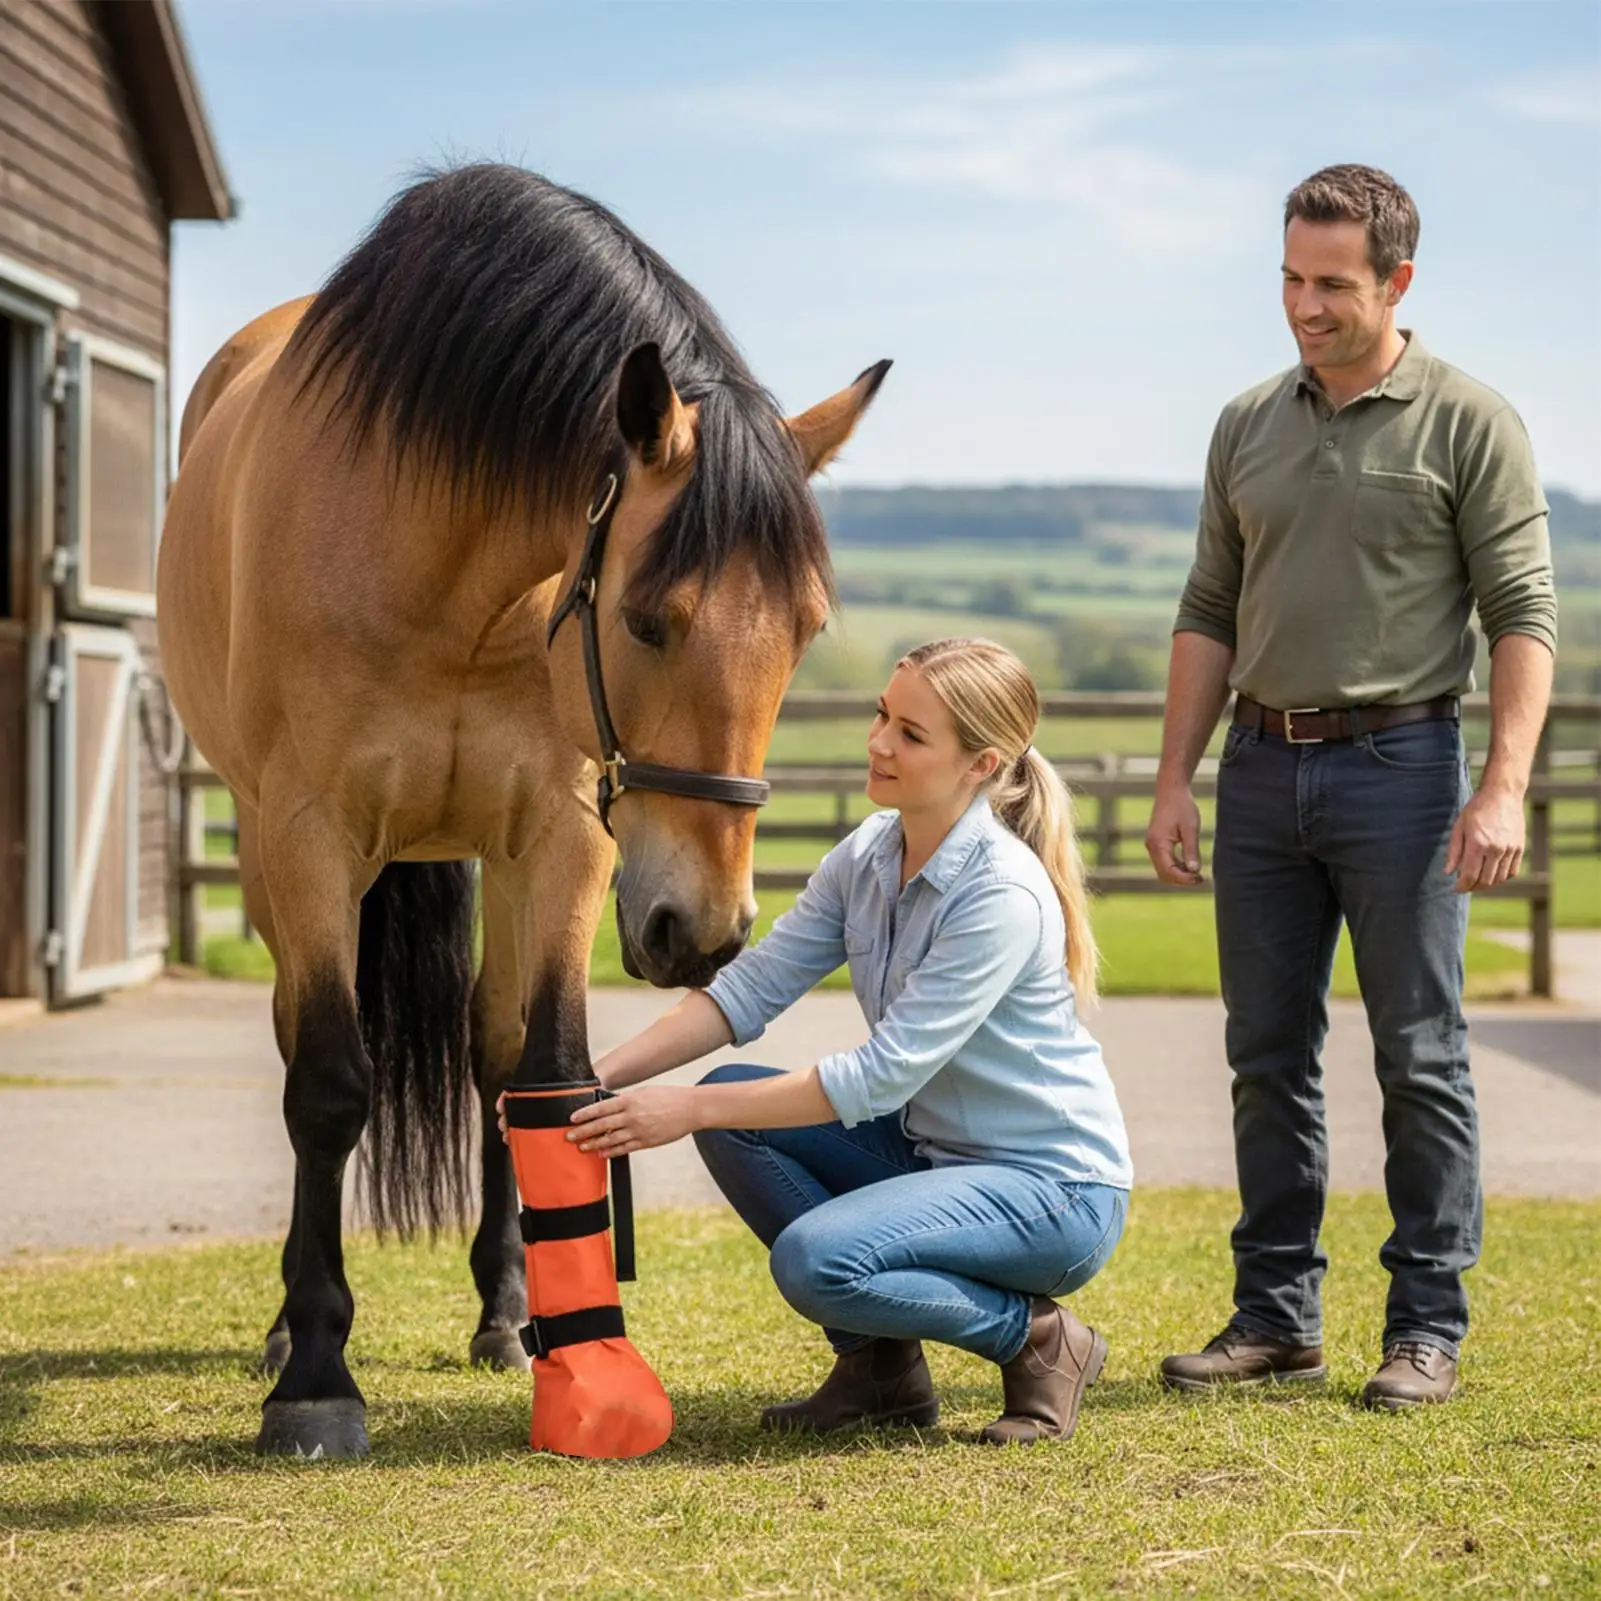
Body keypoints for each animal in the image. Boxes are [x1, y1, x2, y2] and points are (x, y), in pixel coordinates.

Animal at [157, 163, 888, 1458]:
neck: (441, 563)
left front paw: (562, 1340)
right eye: (648, 617)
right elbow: (328, 1083)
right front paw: (317, 1375)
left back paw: (502, 1309)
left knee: (490, 1052)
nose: (703, 929)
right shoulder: (307, 835)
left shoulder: (561, 833)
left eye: (803, 627)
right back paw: (292, 1335)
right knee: (305, 1047)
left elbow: (543, 1068)